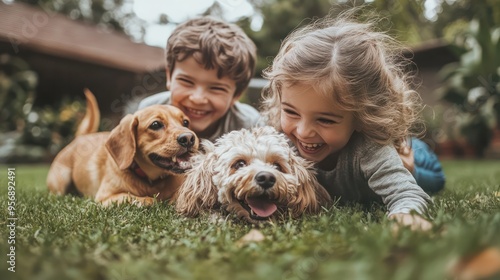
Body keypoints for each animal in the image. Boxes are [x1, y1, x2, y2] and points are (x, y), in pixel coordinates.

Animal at [46, 89, 199, 206]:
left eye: (186, 122)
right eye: (155, 125)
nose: (189, 138)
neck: (150, 181)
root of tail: (81, 137)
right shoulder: (106, 197)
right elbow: (137, 198)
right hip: (61, 180)